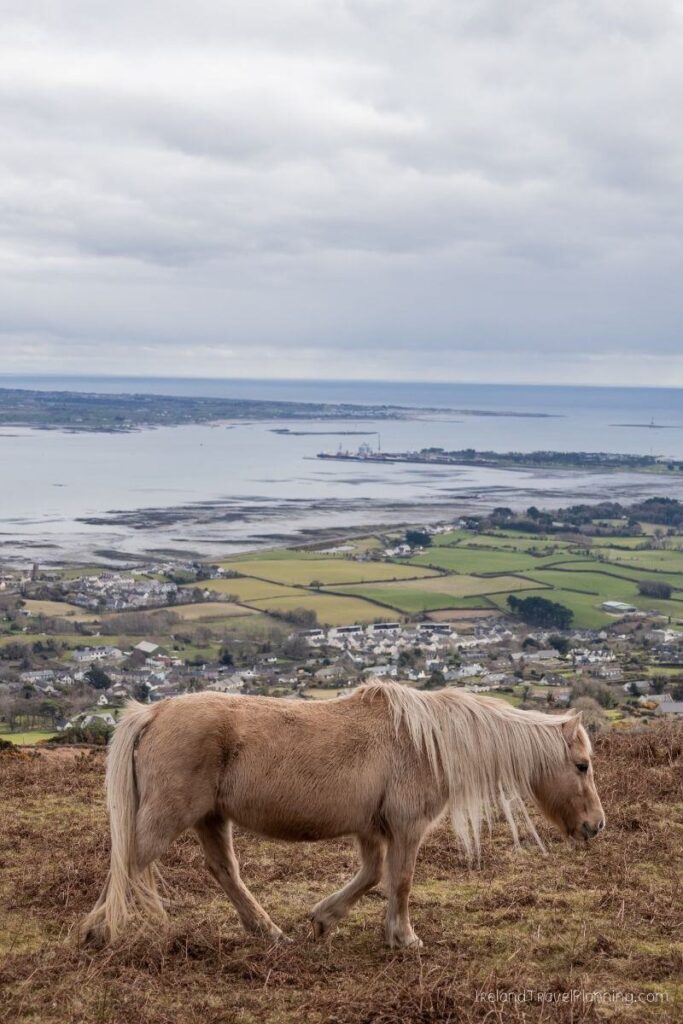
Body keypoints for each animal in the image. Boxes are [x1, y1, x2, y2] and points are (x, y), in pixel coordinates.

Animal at [80, 681, 605, 949]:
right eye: (581, 765)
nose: (595, 826)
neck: (426, 741)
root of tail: (154, 713)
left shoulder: (372, 830)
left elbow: (372, 875)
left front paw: (323, 919)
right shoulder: (407, 829)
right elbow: (400, 881)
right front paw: (404, 938)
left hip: (213, 819)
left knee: (224, 871)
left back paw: (268, 932)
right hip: (169, 819)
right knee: (129, 864)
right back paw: (99, 931)